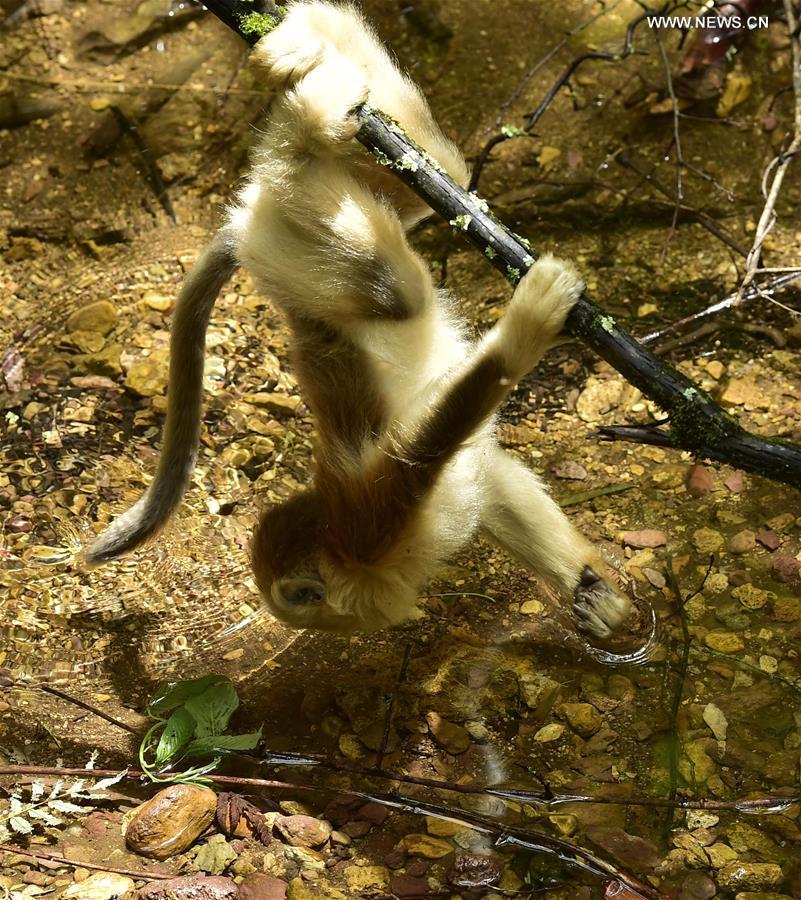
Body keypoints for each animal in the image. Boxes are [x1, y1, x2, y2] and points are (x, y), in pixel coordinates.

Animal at [86, 3, 624, 644]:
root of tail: (245, 221)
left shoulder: (359, 525)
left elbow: (455, 462)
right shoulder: (373, 531)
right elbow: (453, 455)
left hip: (308, 218)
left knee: (427, 182)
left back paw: (310, 50)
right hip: (295, 253)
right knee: (400, 276)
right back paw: (313, 107)